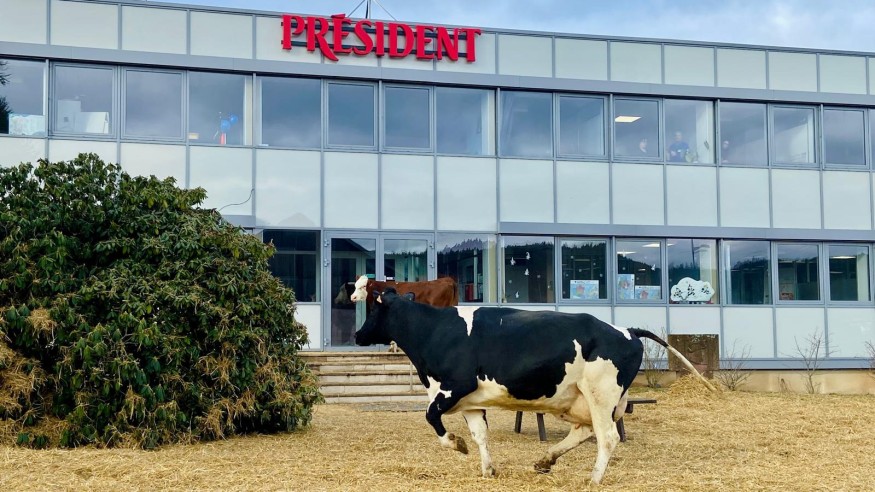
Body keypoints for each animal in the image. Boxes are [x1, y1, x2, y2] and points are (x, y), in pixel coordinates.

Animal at [354, 288, 716, 484]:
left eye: (372, 310)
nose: (358, 334)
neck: (433, 331)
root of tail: (626, 330)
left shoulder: (453, 387)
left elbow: (432, 418)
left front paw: (457, 444)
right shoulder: (470, 400)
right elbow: (481, 435)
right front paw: (487, 468)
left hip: (601, 394)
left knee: (607, 437)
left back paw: (594, 478)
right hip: (580, 400)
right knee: (584, 432)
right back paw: (545, 460)